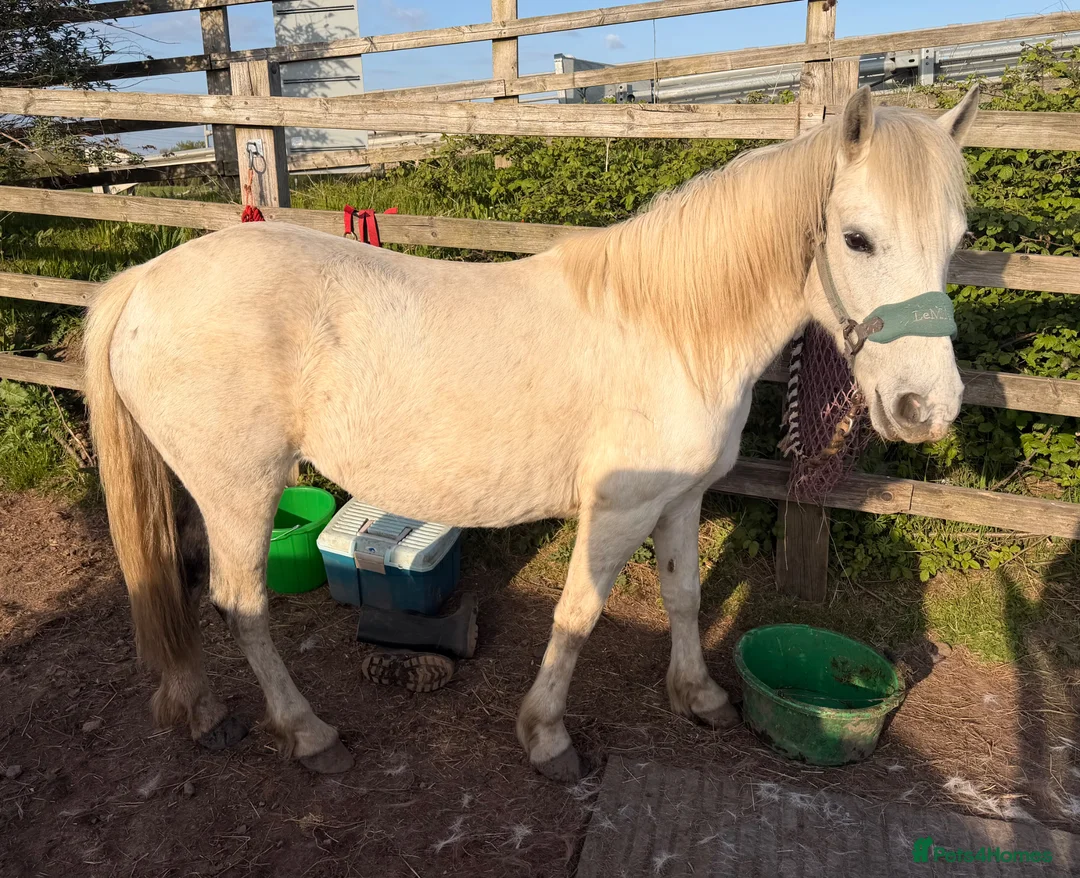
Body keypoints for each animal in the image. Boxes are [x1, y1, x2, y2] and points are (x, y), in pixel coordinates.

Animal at [83, 85, 981, 780]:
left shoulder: (680, 499)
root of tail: (144, 281)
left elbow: (684, 596)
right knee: (242, 604)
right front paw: (546, 738)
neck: (673, 329)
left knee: (172, 586)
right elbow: (578, 615)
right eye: (857, 237)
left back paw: (203, 712)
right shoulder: (619, 509)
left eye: (957, 241)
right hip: (240, 488)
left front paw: (700, 698)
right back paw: (308, 735)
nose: (925, 408)